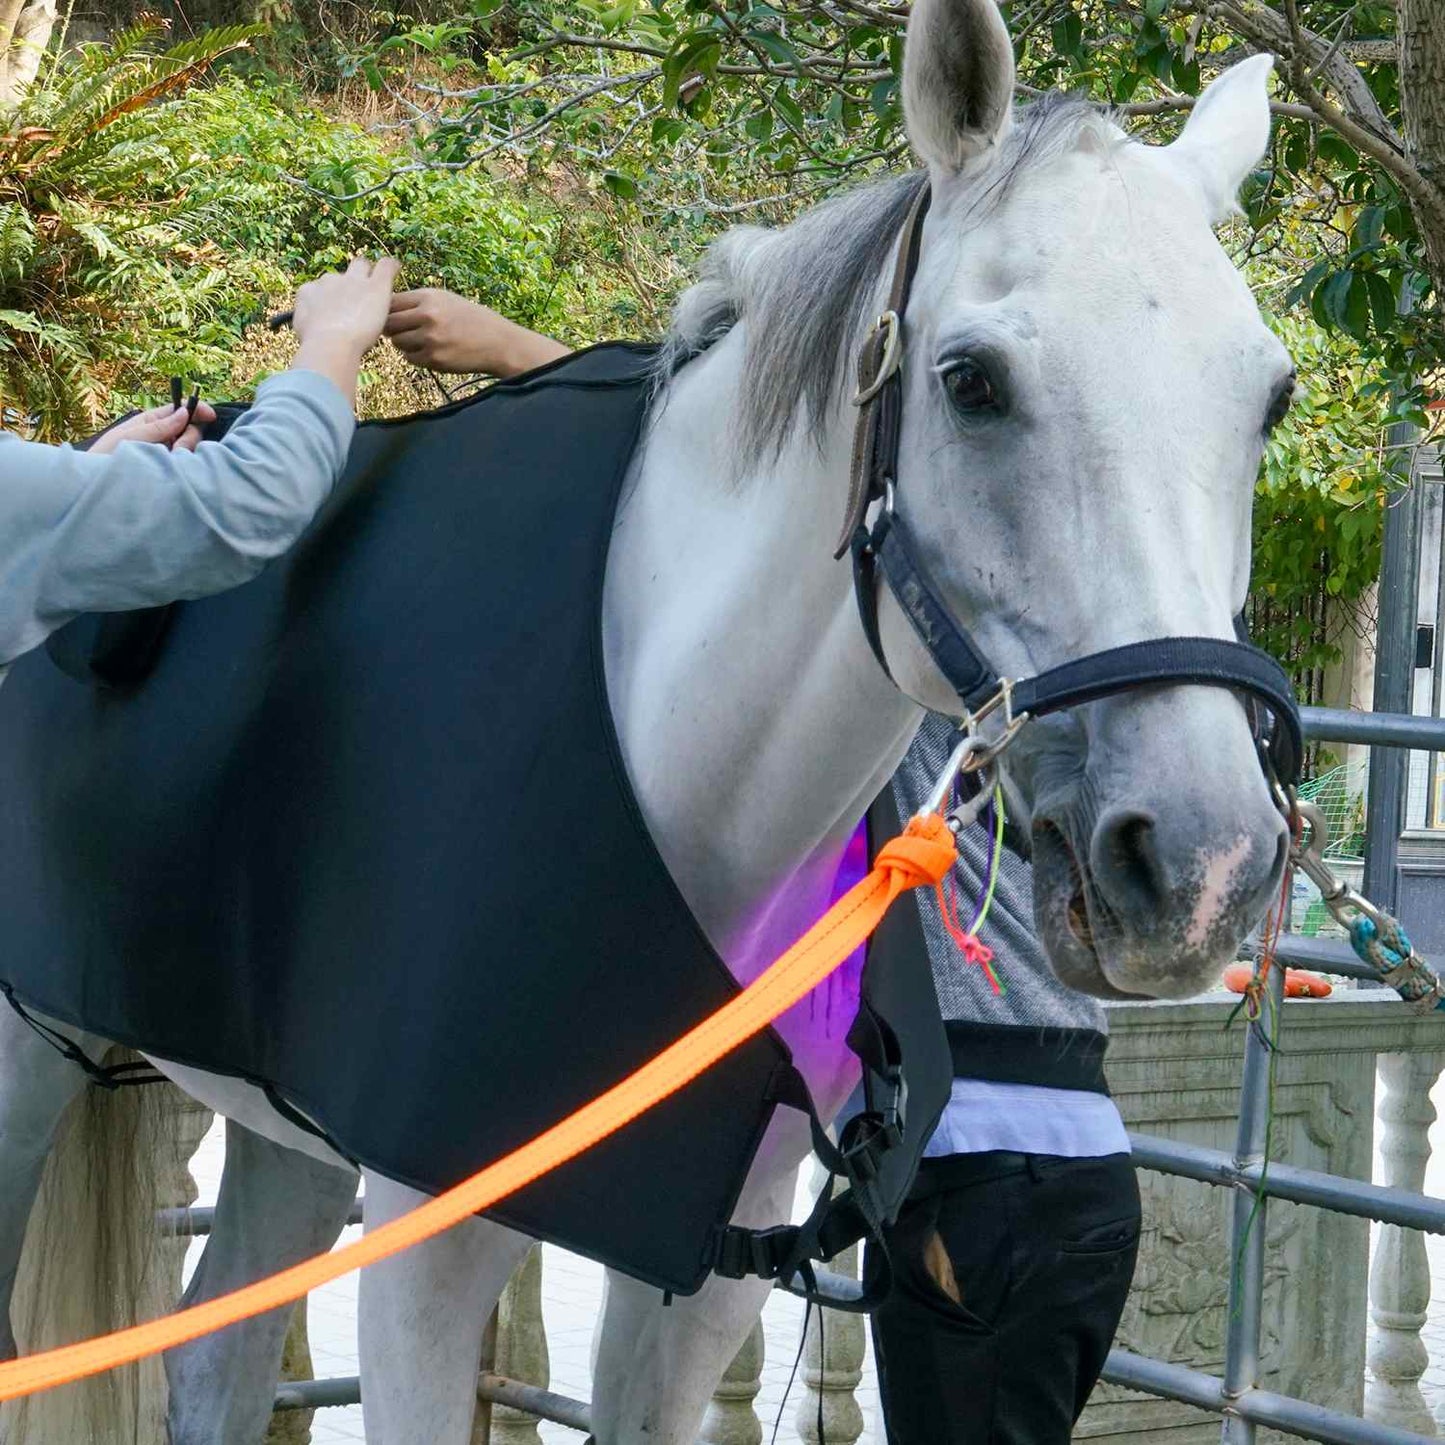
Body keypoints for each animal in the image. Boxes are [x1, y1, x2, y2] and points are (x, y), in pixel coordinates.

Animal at [0, 0, 1297, 1435]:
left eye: (1270, 400)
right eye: (970, 382)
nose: (1200, 861)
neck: (683, 779)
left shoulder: (707, 1261)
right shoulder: (428, 1254)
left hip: (285, 1134)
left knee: (215, 1363)